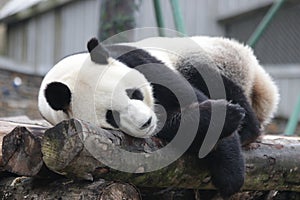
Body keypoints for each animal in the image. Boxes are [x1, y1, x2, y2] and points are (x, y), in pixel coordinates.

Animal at [37, 36, 278, 197]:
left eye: (133, 93)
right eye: (112, 116)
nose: (146, 122)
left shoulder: (140, 60)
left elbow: (190, 95)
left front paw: (230, 174)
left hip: (207, 56)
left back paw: (247, 129)